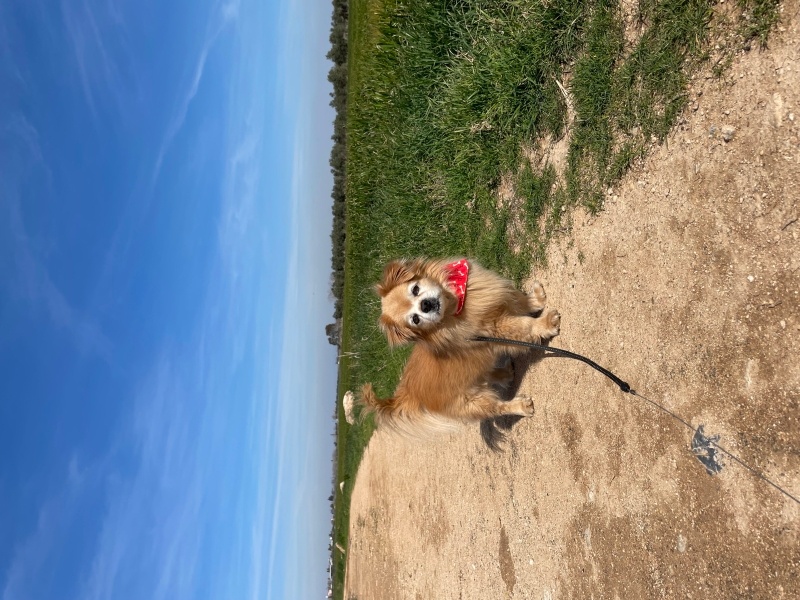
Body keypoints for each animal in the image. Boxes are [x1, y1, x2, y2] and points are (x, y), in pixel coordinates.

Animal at [360, 258, 560, 436]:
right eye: (415, 320)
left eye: (415, 289)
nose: (426, 305)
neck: (456, 308)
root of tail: (405, 395)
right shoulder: (496, 327)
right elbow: (525, 325)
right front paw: (546, 323)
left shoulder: (501, 298)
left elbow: (521, 301)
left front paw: (537, 299)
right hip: (471, 402)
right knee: (497, 408)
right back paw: (520, 405)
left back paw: (505, 374)